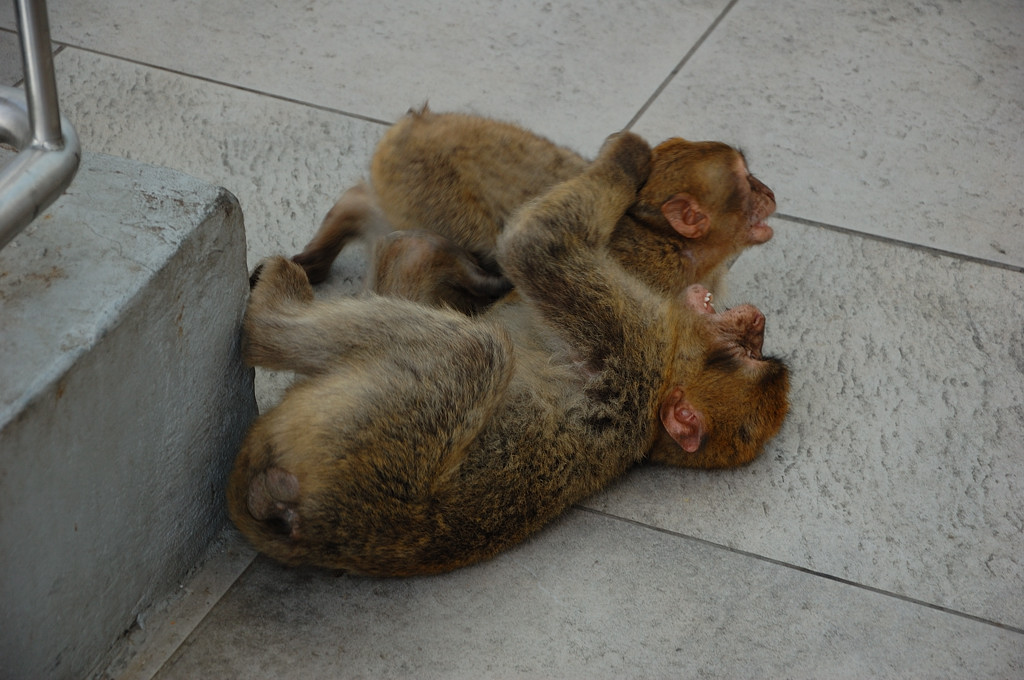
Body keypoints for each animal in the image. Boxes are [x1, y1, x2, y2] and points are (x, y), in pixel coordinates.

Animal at [230, 131, 790, 573]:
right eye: (749, 349)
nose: (756, 324)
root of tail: (316, 527)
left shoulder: (633, 329)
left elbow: (537, 246)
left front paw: (628, 153)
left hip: (367, 440)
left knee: (474, 349)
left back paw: (271, 313)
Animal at [292, 107, 770, 311]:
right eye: (747, 181)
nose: (767, 190)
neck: (671, 243)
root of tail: (417, 125)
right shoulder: (653, 272)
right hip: (425, 185)